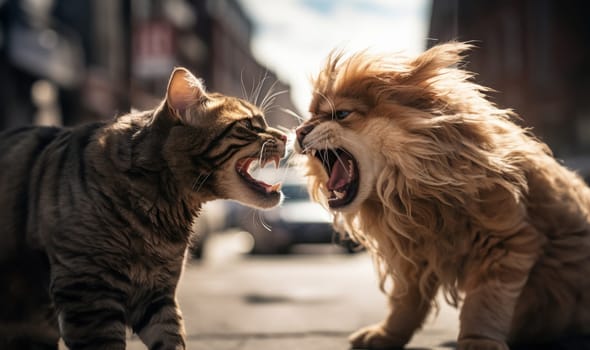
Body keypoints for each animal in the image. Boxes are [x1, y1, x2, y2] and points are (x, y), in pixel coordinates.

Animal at [294, 43, 590, 350]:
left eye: (341, 114)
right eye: (310, 116)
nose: (299, 131)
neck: (408, 191)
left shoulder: (506, 244)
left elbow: (484, 303)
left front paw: (477, 341)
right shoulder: (410, 258)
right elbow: (403, 304)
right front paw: (385, 335)